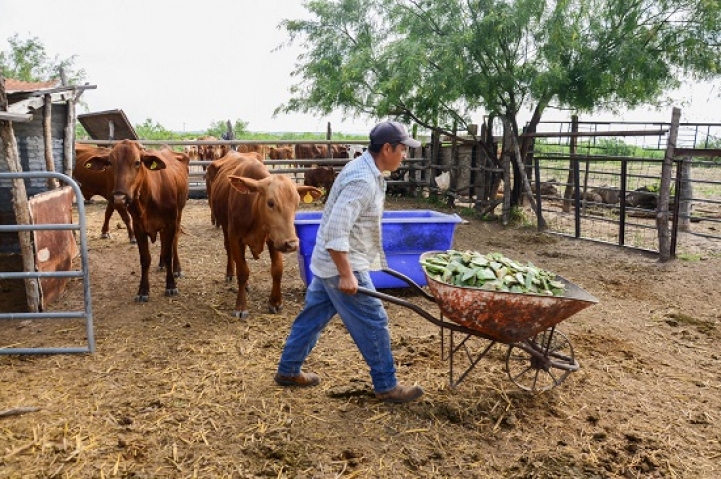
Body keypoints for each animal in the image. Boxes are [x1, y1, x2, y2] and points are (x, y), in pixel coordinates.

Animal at [83, 141, 190, 302]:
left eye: (137, 162)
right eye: (110, 162)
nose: (119, 197)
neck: (148, 198)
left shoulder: (169, 224)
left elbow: (168, 254)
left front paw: (171, 285)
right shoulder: (138, 227)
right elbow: (145, 259)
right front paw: (143, 290)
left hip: (179, 214)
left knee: (174, 242)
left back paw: (177, 268)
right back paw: (161, 264)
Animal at [208, 155, 320, 318]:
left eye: (297, 203)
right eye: (271, 203)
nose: (292, 244)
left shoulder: (275, 239)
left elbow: (277, 270)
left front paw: (275, 302)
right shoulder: (235, 237)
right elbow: (242, 271)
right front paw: (241, 306)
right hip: (224, 226)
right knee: (229, 251)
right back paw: (230, 273)